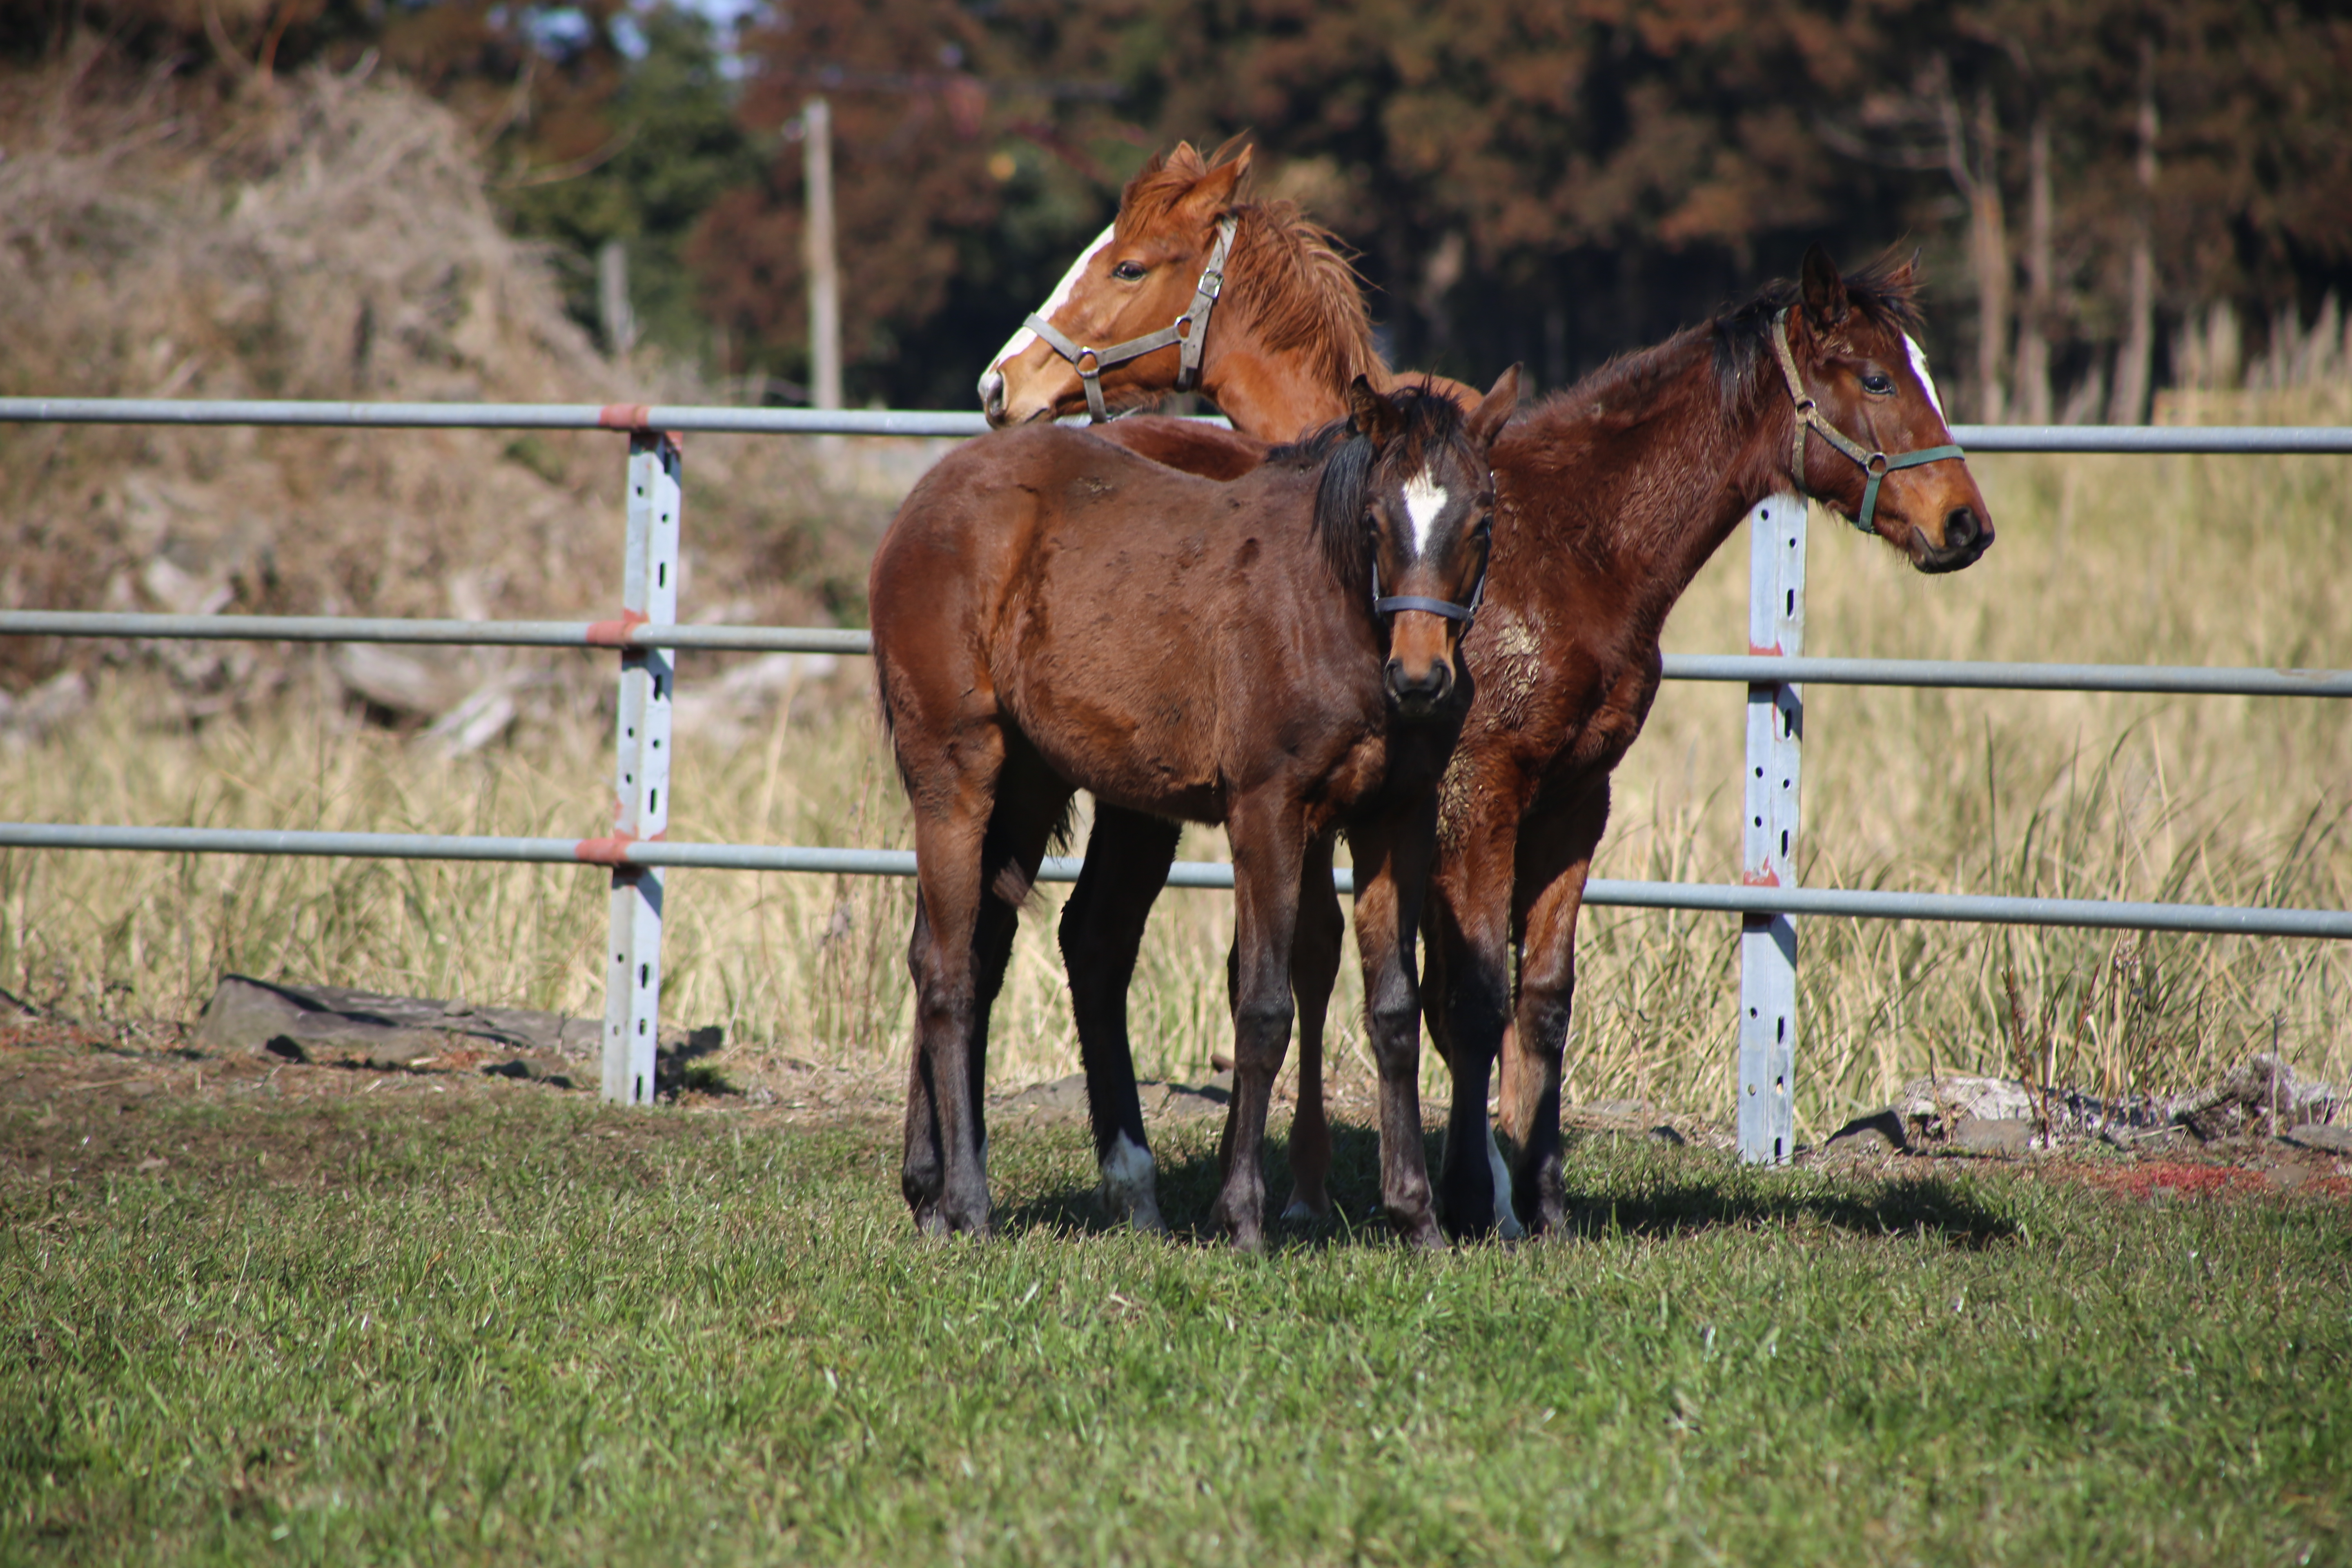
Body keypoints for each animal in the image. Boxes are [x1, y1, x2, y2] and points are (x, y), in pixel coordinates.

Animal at [875, 369, 1515, 1250]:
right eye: (1377, 521)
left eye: (1481, 521)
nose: (1420, 680)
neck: (1325, 613)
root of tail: (921, 503)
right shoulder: (1268, 814)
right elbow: (1264, 1008)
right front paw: (1242, 1217)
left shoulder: (1399, 820)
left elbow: (1393, 1011)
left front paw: (1417, 1217)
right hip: (954, 776)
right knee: (948, 972)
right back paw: (968, 1204)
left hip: (1029, 788)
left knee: (979, 948)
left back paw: (934, 1189)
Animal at [983, 150, 1994, 1250]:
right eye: (1873, 377)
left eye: (1127, 266)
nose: (1964, 522)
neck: (1565, 547)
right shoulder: (1474, 796)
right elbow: (1463, 996)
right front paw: (1482, 1198)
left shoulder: (1572, 798)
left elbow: (1538, 998)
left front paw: (1539, 1195)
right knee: (1099, 940)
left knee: (1100, 939)